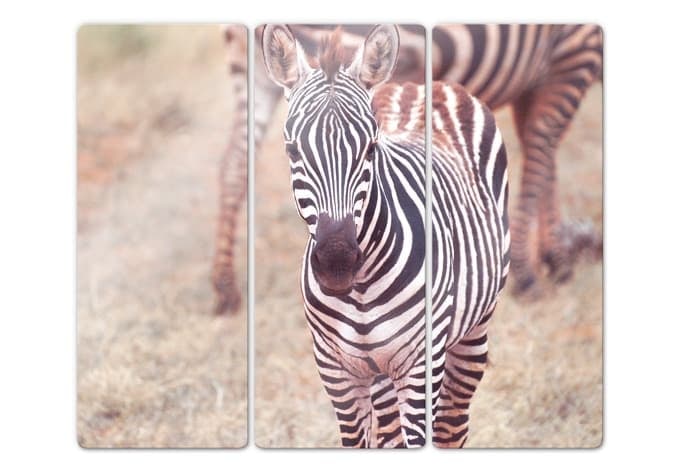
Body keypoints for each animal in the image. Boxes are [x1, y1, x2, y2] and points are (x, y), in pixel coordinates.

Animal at [213, 23, 601, 313]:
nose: (337, 261)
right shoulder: (577, 52)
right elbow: (541, 146)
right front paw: (533, 269)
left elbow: (542, 153)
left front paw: (553, 254)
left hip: (253, 71)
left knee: (233, 164)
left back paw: (225, 288)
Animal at [261, 24, 510, 448]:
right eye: (292, 151)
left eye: (371, 148)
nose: (337, 261)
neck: (360, 288)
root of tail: (420, 85)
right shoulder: (337, 371)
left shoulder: (421, 364)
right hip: (380, 374)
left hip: (474, 327)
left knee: (453, 425)